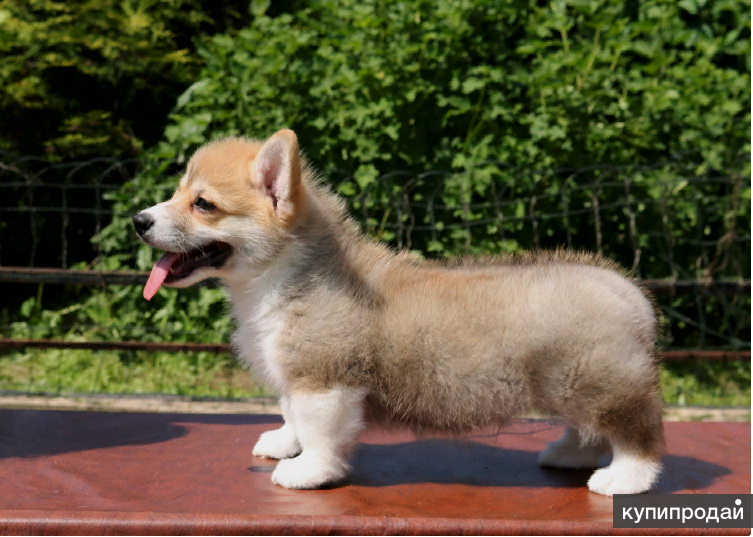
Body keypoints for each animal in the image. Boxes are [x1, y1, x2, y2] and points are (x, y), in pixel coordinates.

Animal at [132, 129, 660, 494]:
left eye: (204, 204)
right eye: (177, 193)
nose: (138, 221)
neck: (278, 277)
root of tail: (632, 295)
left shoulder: (325, 380)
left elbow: (320, 433)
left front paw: (306, 471)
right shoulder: (295, 374)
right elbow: (290, 414)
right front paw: (284, 443)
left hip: (598, 383)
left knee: (637, 434)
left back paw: (623, 480)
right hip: (574, 386)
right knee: (590, 429)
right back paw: (570, 454)